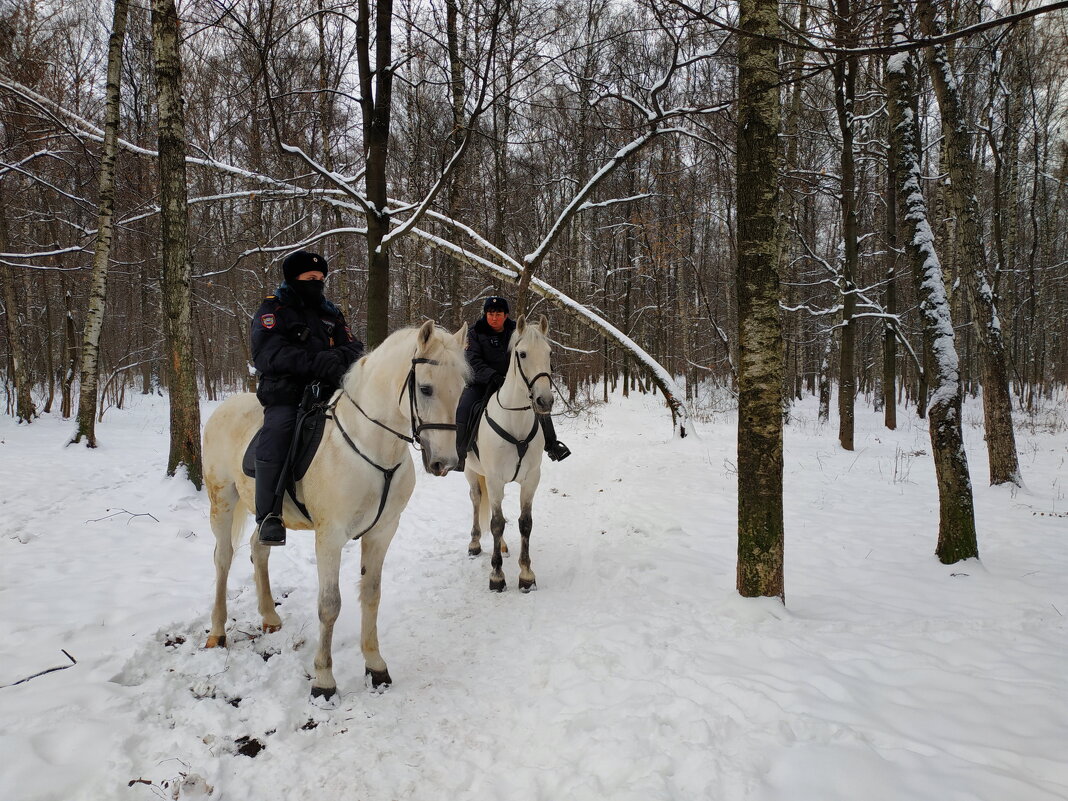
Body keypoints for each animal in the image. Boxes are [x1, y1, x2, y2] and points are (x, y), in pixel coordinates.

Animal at [200, 322, 467, 700]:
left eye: (461, 388)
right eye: (426, 388)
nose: (445, 462)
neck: (372, 447)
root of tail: (225, 407)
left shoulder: (383, 531)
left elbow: (371, 594)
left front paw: (375, 666)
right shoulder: (330, 537)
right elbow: (330, 605)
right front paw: (324, 681)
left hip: (266, 513)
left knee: (258, 547)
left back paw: (269, 616)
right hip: (222, 499)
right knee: (223, 558)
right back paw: (217, 632)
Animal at [463, 316, 555, 593]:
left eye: (549, 353)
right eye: (522, 354)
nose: (544, 401)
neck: (515, 421)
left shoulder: (531, 479)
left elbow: (525, 523)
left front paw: (526, 575)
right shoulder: (494, 479)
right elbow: (496, 523)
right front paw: (497, 576)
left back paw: (503, 547)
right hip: (472, 471)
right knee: (476, 499)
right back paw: (475, 544)